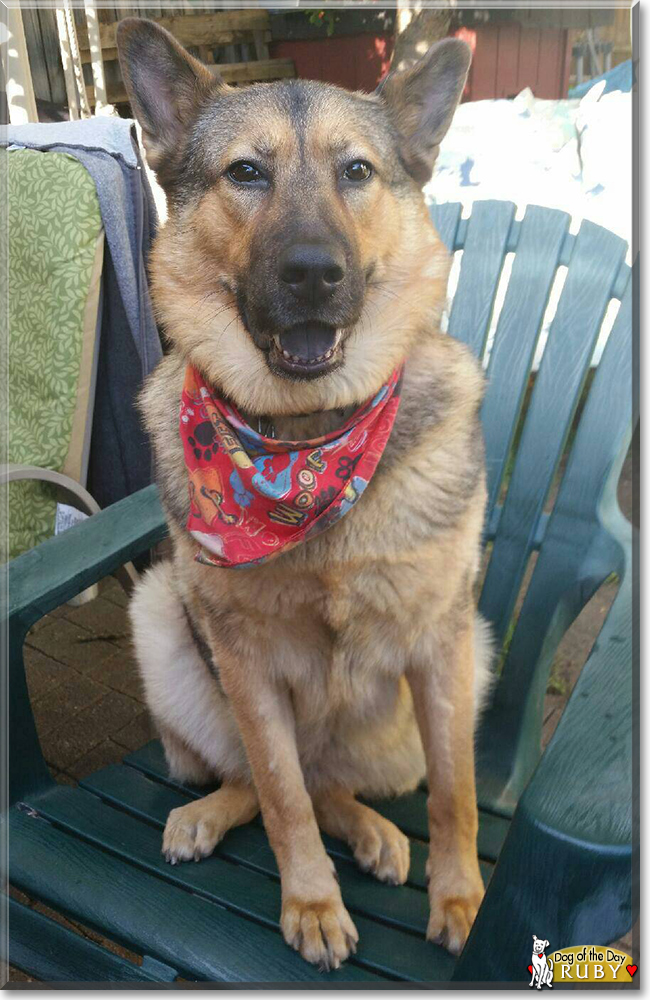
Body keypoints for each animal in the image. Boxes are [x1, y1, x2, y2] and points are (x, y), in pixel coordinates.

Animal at [117, 15, 492, 968]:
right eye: (246, 173)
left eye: (355, 171)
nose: (314, 272)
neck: (303, 443)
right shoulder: (246, 664)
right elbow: (282, 796)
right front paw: (312, 902)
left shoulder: (442, 644)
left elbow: (457, 793)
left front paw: (462, 897)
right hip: (164, 625)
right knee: (270, 777)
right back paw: (214, 813)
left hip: (461, 670)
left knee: (335, 784)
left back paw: (376, 833)